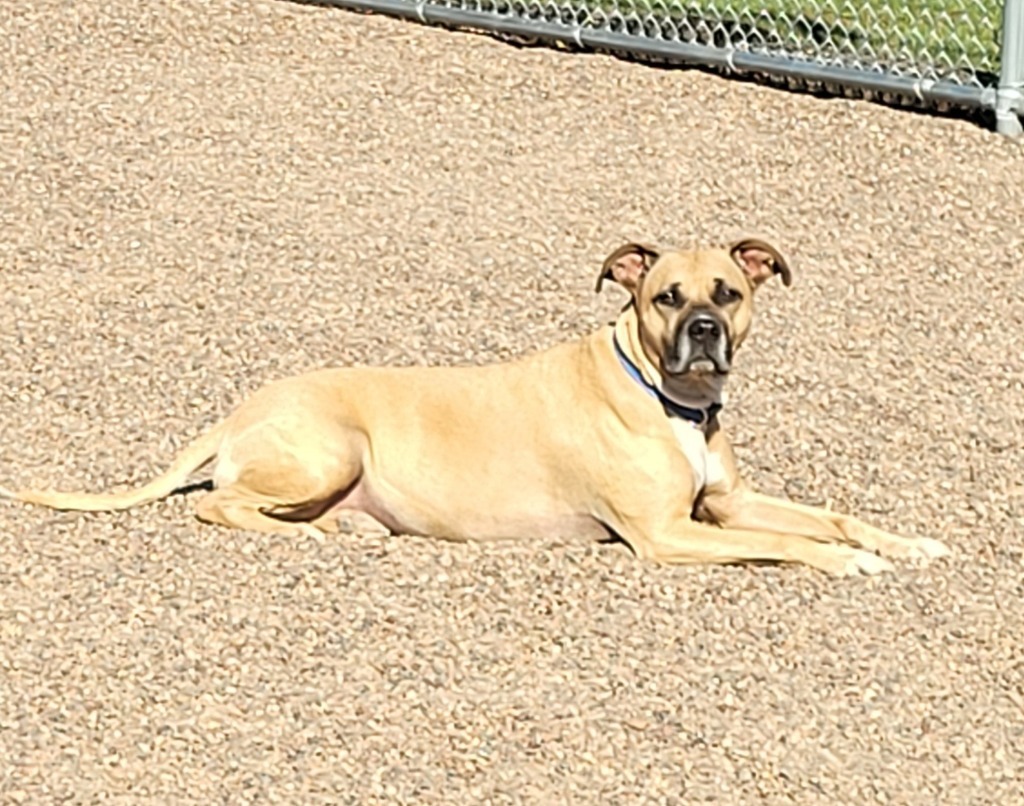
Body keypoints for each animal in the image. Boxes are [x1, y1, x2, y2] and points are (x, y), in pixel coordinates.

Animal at [0, 239, 946, 573]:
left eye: (729, 291)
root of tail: (233, 411)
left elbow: (831, 515)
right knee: (222, 506)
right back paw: (316, 535)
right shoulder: (669, 534)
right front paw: (848, 564)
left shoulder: (728, 501)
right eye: (665, 297)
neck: (667, 399)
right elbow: (789, 545)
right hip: (334, 445)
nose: (707, 331)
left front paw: (903, 542)